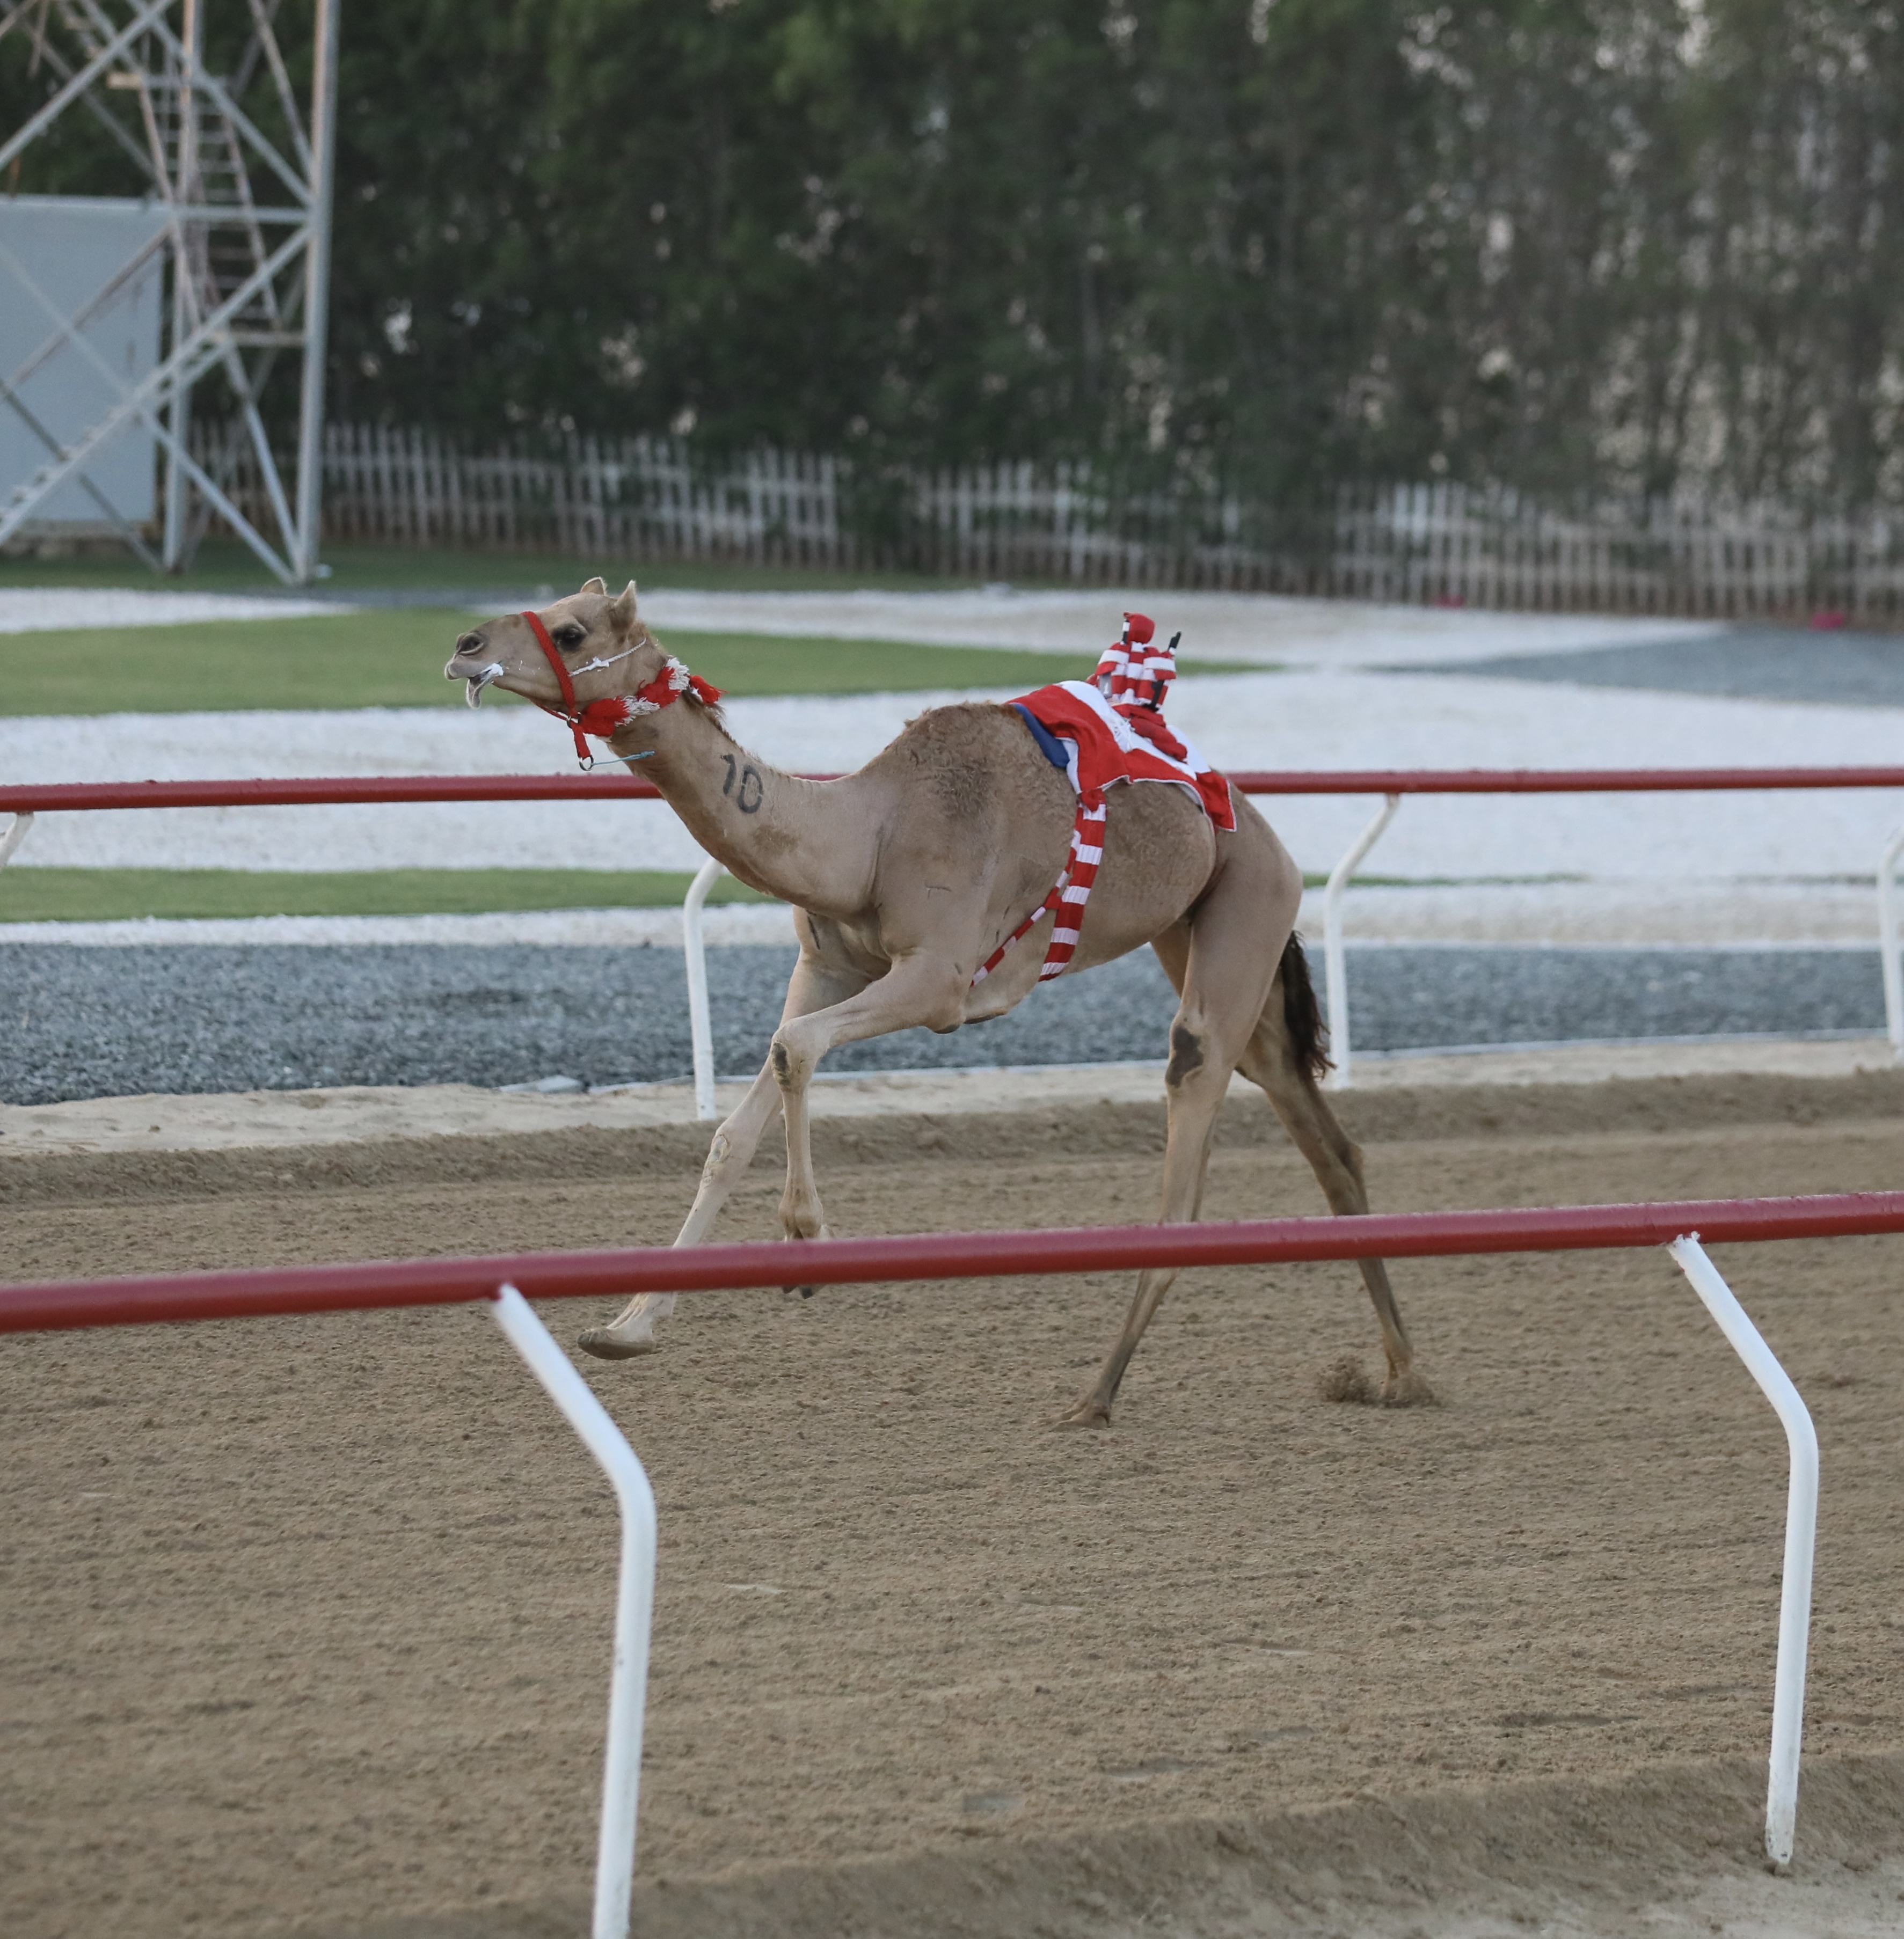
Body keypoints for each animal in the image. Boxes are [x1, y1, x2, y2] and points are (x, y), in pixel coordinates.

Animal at [448, 577, 1427, 1427]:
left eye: (572, 629)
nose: (463, 646)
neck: (867, 837)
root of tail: (1262, 828)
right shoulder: (828, 964)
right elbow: (741, 1115)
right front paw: (628, 1326)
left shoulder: (942, 980)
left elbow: (798, 1048)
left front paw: (807, 1245)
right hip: (1203, 933)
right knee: (1325, 1138)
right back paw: (1401, 1374)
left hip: (1245, 904)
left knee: (1191, 1104)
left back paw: (1095, 1394)